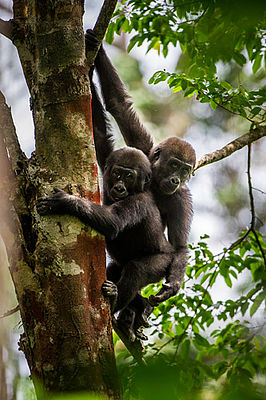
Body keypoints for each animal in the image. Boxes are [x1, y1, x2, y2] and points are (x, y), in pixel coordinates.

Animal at [36, 147, 176, 334]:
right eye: (117, 173)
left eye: (129, 176)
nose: (119, 187)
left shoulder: (139, 202)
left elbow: (113, 222)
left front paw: (64, 202)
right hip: (121, 265)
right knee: (114, 271)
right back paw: (142, 306)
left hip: (164, 261)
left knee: (137, 270)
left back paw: (116, 302)